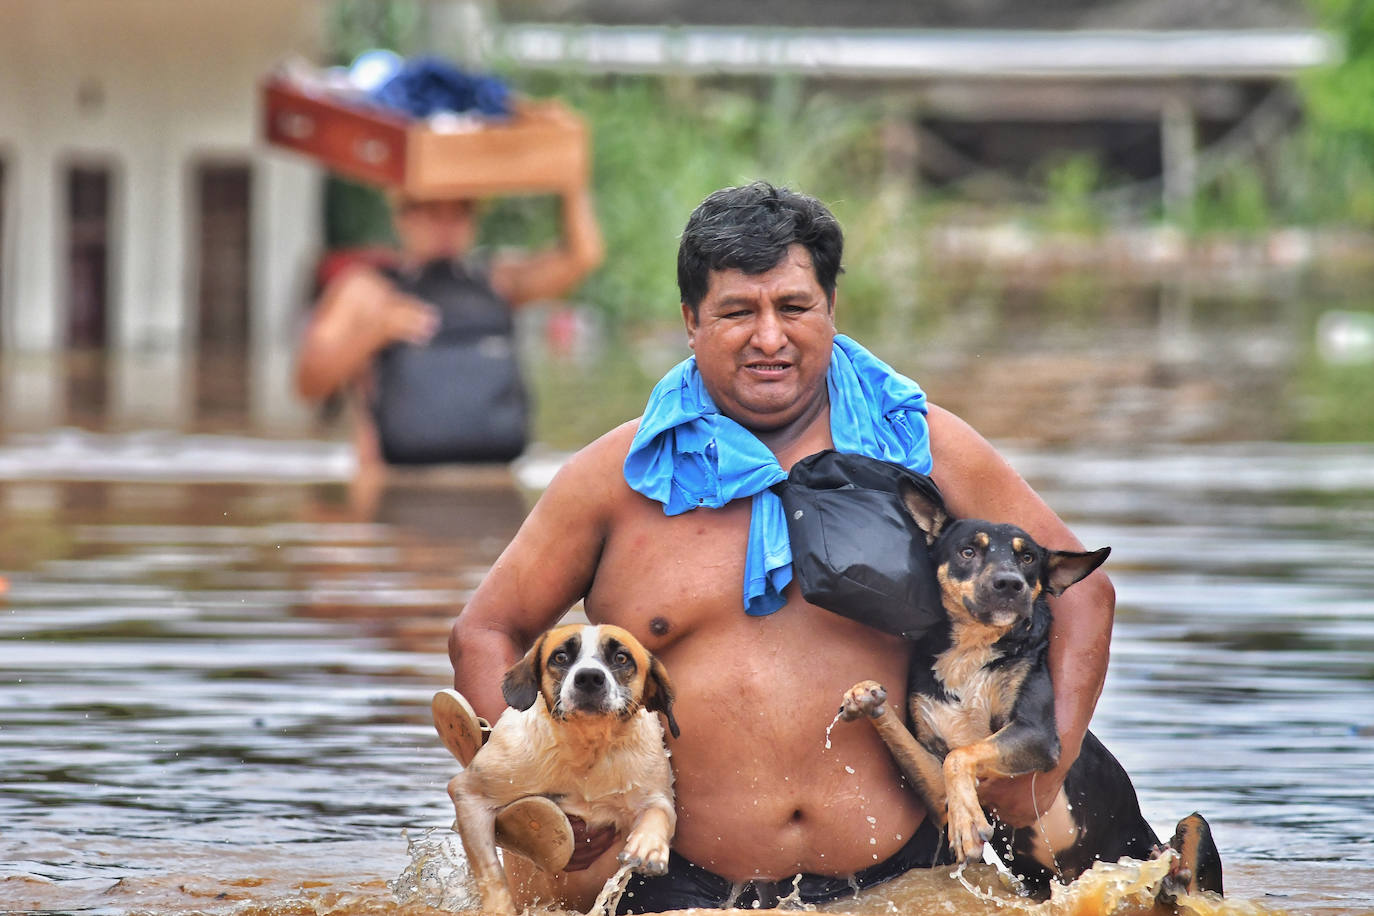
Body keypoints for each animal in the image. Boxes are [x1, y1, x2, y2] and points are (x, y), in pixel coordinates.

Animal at [447, 623, 678, 916]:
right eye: (560, 657)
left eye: (621, 658)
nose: (589, 677)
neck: (588, 748)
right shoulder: (471, 794)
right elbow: (490, 871)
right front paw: (499, 907)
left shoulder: (655, 793)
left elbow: (659, 812)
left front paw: (649, 848)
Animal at [840, 483, 1220, 900]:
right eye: (967, 551)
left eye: (1027, 558)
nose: (1010, 583)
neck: (971, 652)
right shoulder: (937, 786)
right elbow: (942, 756)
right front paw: (866, 697)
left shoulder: (1036, 735)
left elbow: (961, 754)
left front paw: (968, 825)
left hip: (1191, 825)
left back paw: (1172, 876)